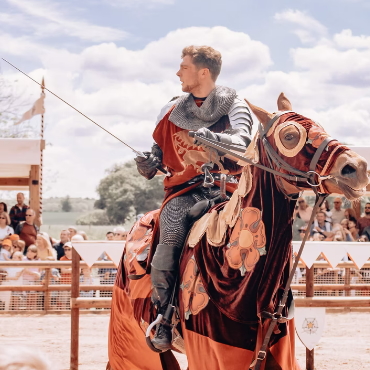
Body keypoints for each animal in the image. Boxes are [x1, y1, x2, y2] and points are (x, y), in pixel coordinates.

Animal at [105, 93, 368, 370]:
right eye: (290, 136)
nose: (357, 168)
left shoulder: (277, 353)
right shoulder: (210, 355)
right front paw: (149, 161)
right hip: (128, 336)